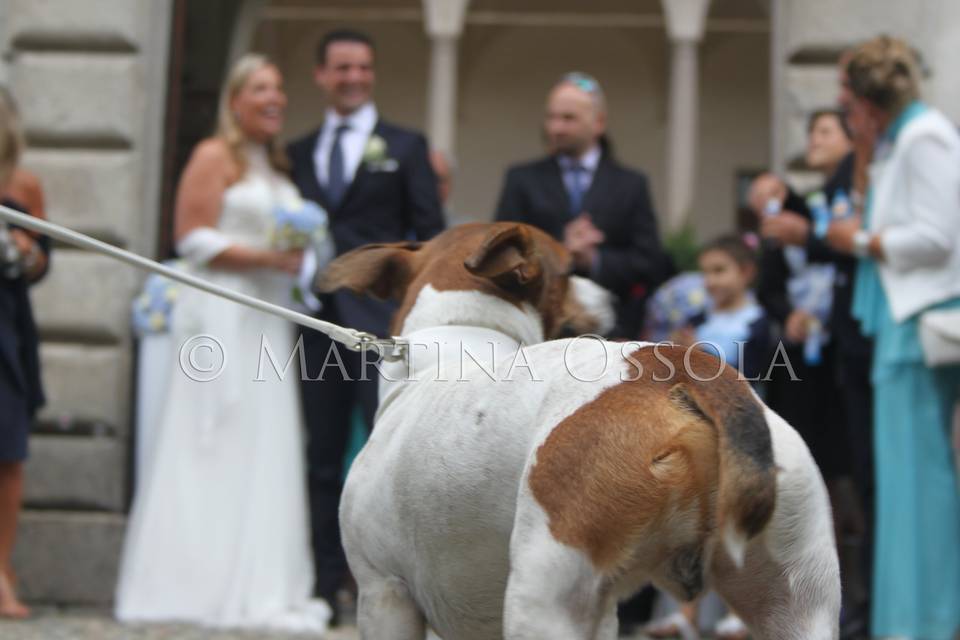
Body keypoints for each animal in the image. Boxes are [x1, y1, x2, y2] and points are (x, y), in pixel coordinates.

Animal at [320, 222, 840, 636]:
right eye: (571, 272)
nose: (613, 295)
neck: (458, 336)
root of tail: (671, 369)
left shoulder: (383, 593)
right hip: (797, 599)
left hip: (544, 595)